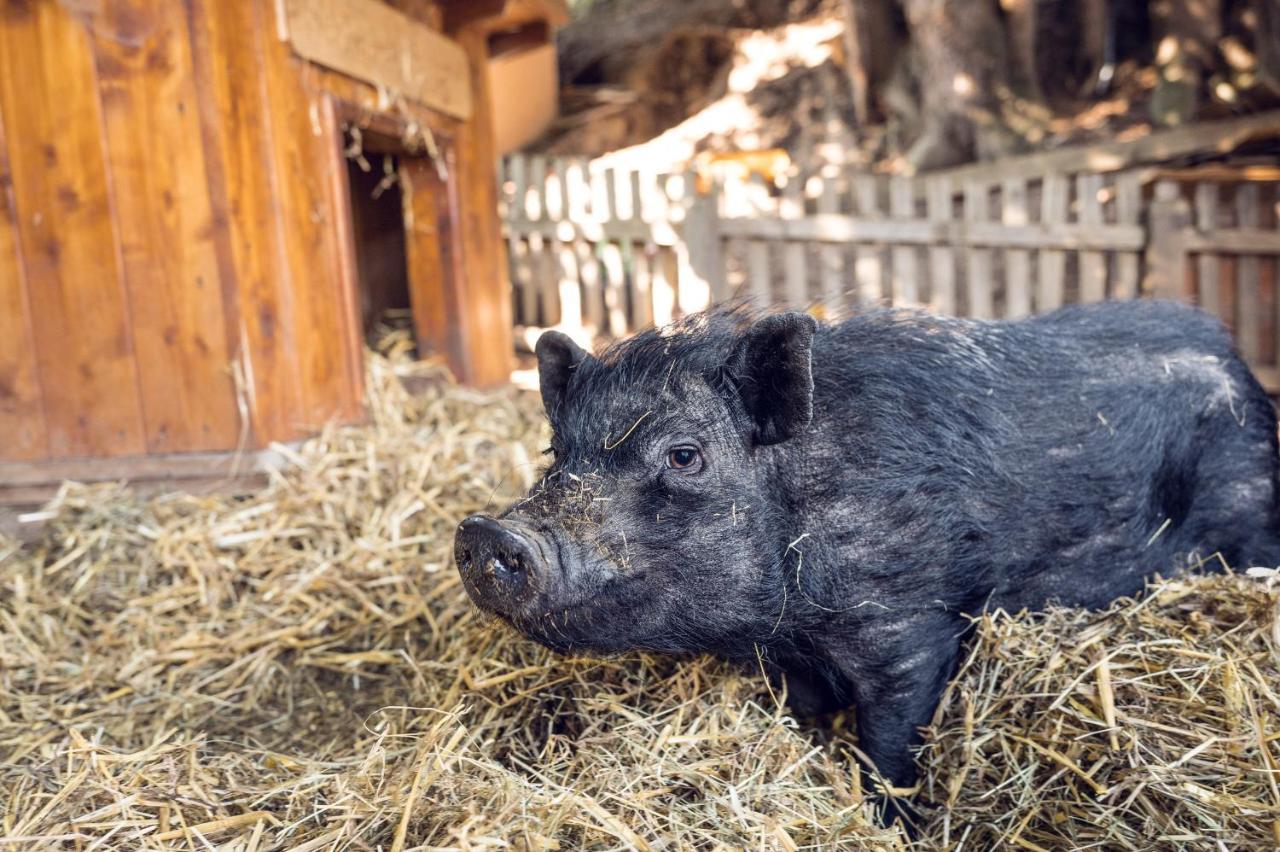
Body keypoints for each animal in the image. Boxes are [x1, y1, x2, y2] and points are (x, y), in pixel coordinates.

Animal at [455, 300, 1274, 808]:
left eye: (684, 455)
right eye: (557, 454)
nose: (487, 533)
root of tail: (1243, 370)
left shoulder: (911, 627)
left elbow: (889, 743)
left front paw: (892, 818)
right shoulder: (789, 658)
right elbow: (807, 714)